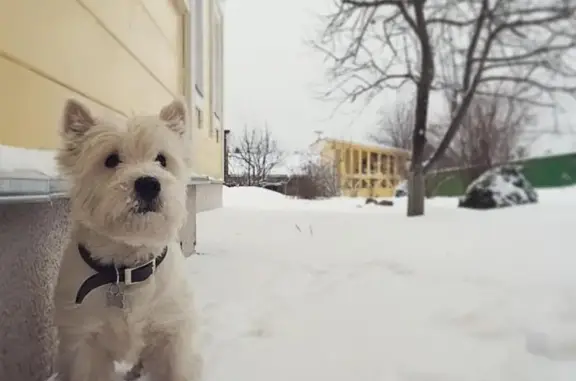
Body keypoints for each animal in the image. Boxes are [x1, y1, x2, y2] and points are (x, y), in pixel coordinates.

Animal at [53, 98, 202, 380]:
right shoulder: (85, 343)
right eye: (111, 160)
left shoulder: (170, 334)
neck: (126, 269)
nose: (148, 184)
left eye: (161, 159)